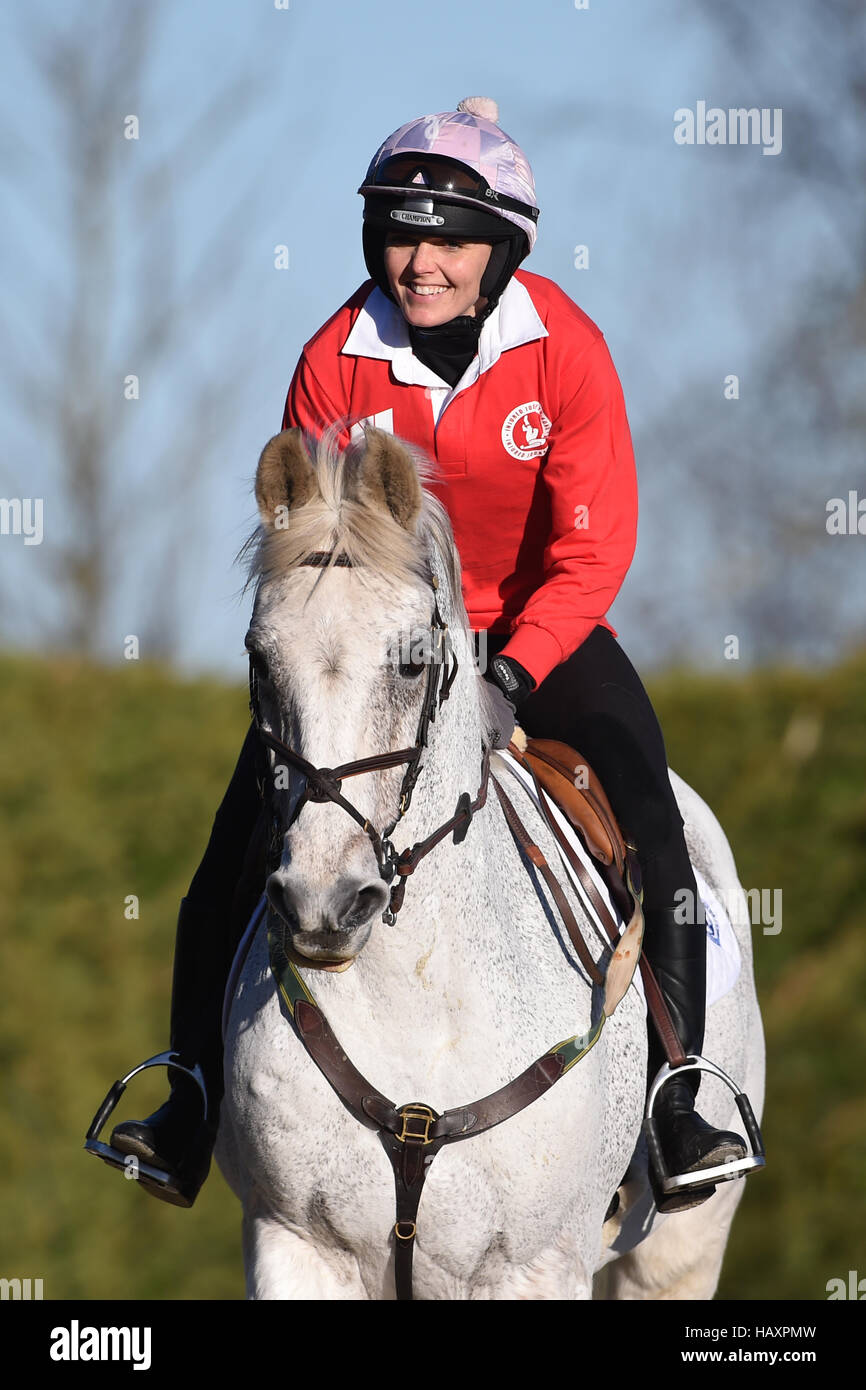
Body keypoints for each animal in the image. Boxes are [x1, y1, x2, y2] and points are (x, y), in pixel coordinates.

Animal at [216, 425, 767, 1301]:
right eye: (259, 661)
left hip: (677, 1255)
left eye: (411, 662)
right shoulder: (294, 1247)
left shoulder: (533, 1267)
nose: (322, 904)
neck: (417, 994)